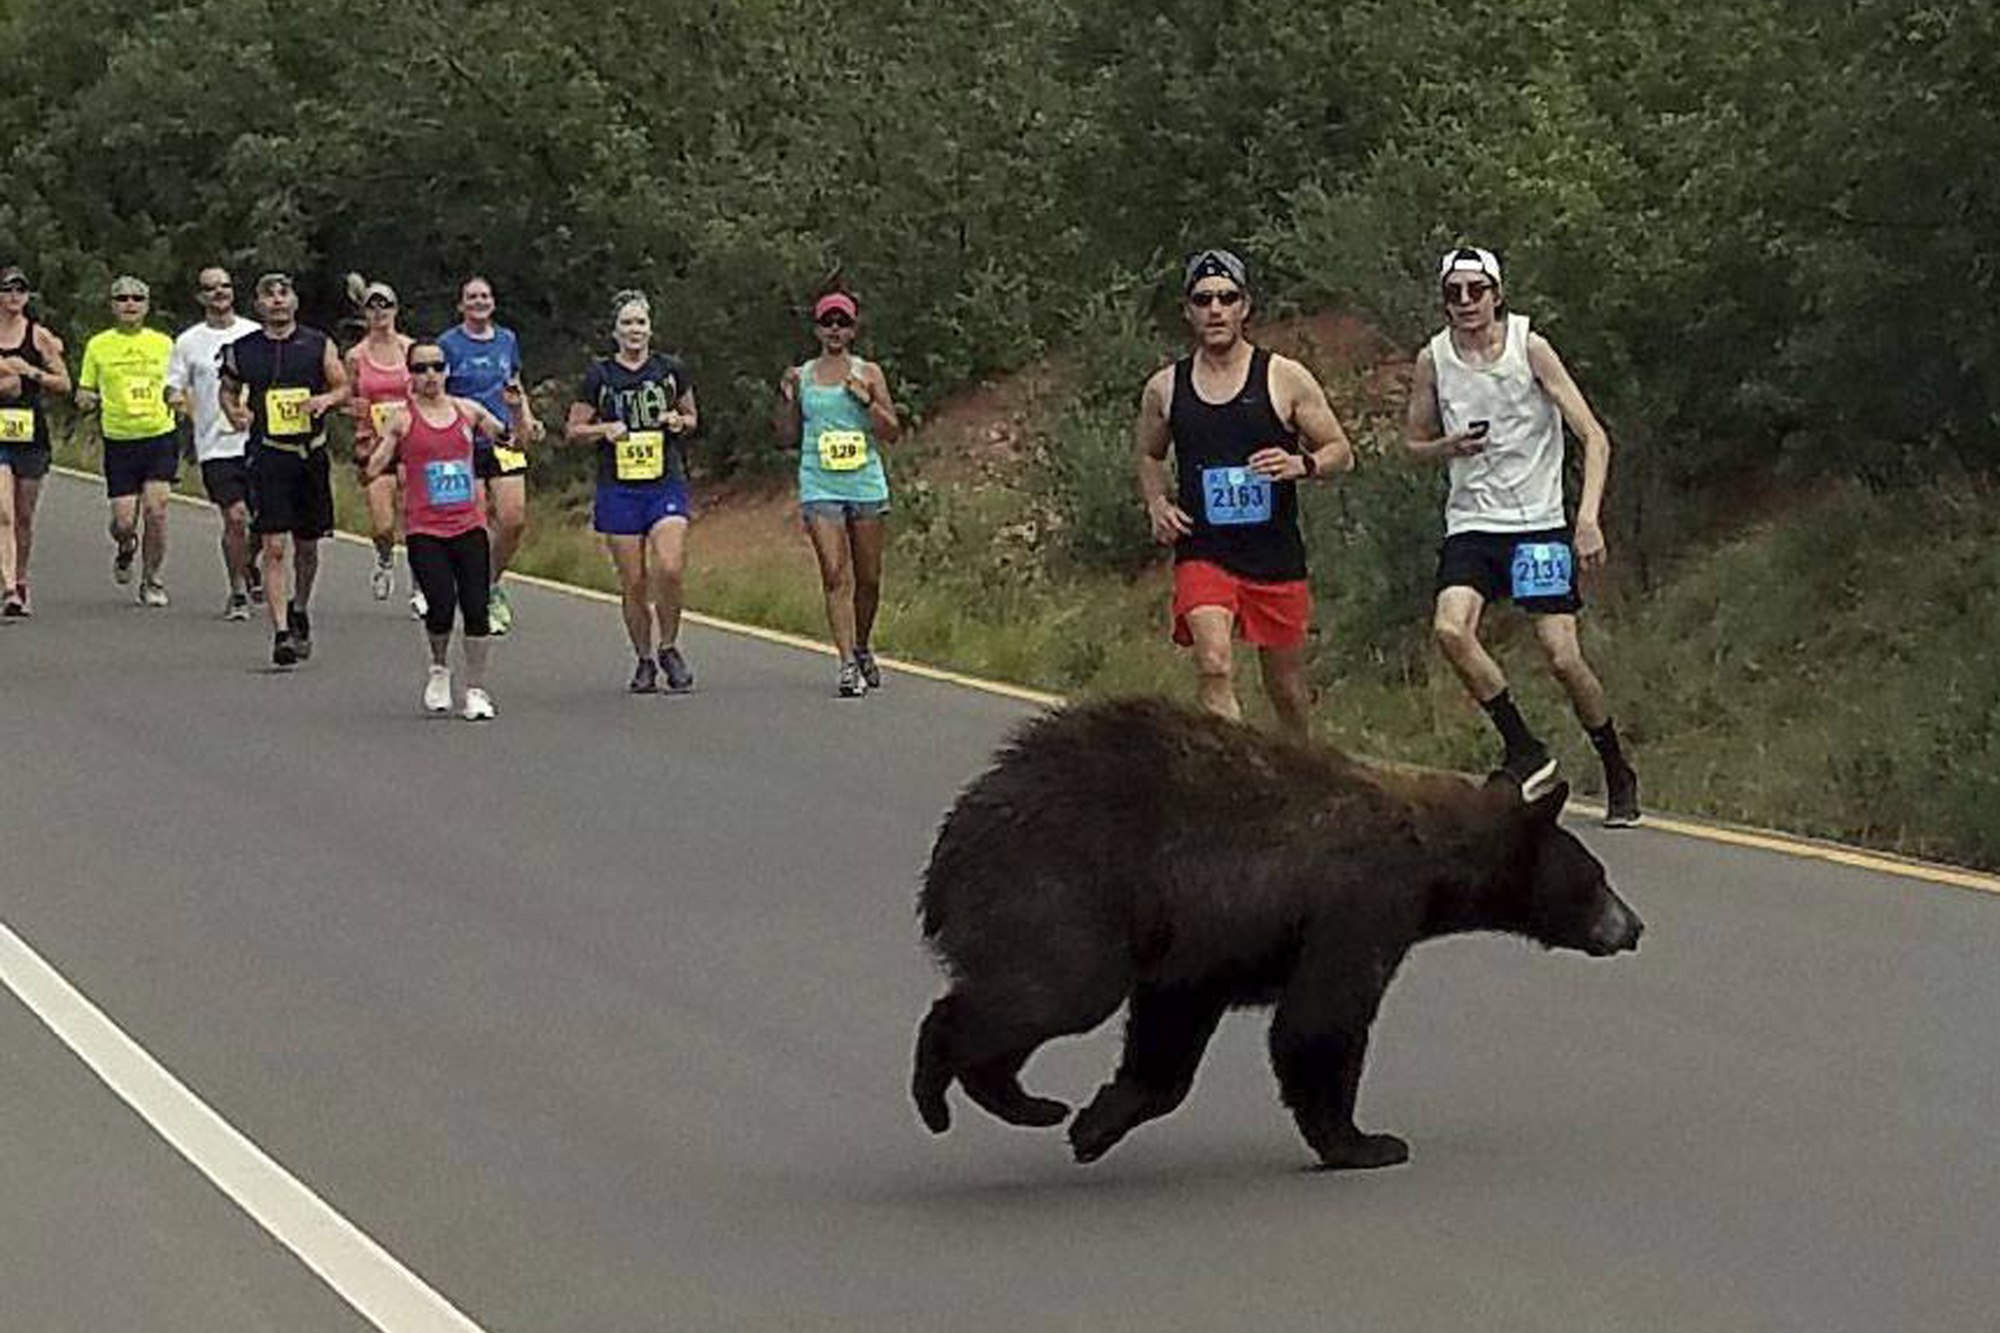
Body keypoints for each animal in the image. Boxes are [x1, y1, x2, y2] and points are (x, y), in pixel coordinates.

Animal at [916, 696, 1648, 1160]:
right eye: (1597, 876)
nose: (1635, 924)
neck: (1435, 855)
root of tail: (949, 851)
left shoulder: (1207, 937)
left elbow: (1173, 1023)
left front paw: (1101, 1119)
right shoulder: (1362, 901)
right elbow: (1321, 1020)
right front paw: (1365, 1142)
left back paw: (1023, 1101)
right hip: (1058, 890)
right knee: (1055, 990)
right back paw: (953, 1092)